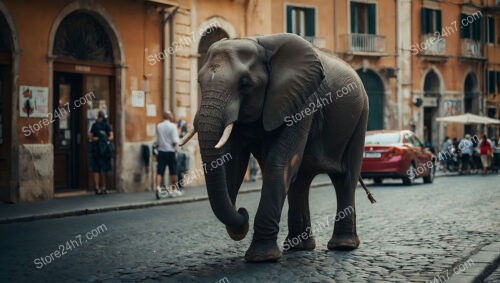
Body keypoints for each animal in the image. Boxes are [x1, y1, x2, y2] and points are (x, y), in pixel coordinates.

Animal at [180, 33, 372, 264]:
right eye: (199, 82)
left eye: (245, 84)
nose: (242, 213)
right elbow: (232, 163)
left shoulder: (302, 101)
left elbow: (278, 164)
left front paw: (261, 258)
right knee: (300, 181)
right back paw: (300, 248)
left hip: (360, 117)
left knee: (345, 179)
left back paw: (343, 246)